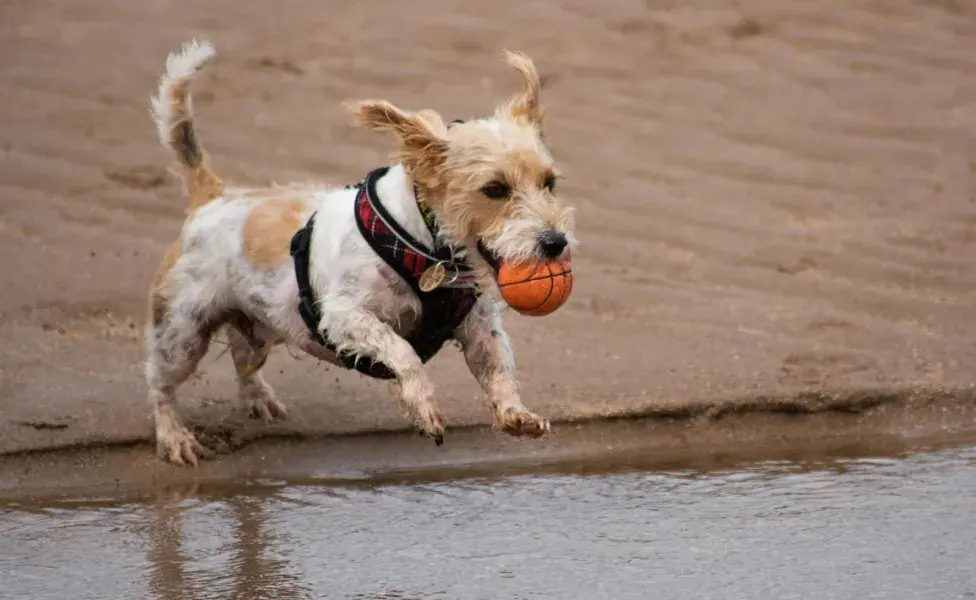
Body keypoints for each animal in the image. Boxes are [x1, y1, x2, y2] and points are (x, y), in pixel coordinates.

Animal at [143, 39, 572, 466]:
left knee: (240, 350)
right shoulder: (345, 315)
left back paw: (257, 397)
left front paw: (515, 413)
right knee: (160, 384)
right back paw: (174, 436)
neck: (425, 246)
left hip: (255, 319)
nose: (556, 242)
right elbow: (402, 350)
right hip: (182, 331)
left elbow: (499, 369)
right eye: (495, 189)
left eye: (548, 182)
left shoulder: (480, 327)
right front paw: (423, 405)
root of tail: (212, 196)